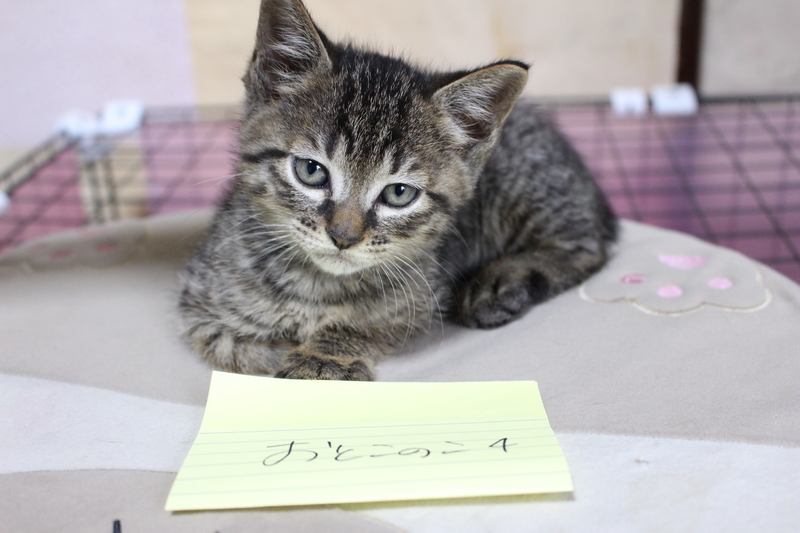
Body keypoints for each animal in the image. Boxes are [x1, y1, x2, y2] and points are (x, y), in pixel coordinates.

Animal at [178, 0, 617, 380]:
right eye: (311, 171)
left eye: (399, 194)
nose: (344, 237)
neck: (318, 286)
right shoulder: (201, 309)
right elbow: (239, 347)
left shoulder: (421, 301)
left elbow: (367, 325)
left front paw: (325, 357)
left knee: (589, 247)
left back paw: (500, 283)